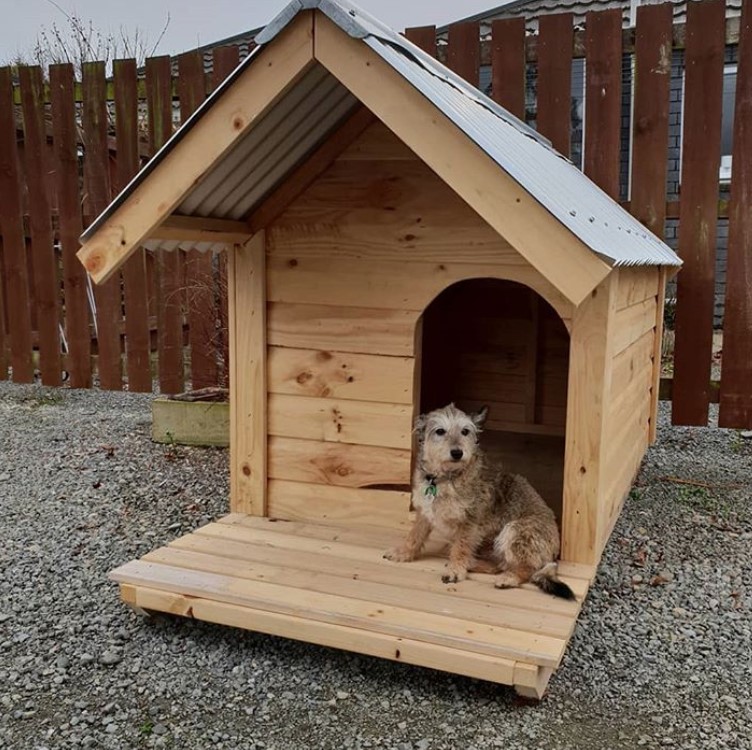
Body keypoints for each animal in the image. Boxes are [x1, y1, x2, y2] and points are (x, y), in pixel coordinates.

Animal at [384, 402, 572, 604]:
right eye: (440, 431)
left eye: (465, 431)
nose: (457, 453)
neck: (444, 478)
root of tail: (554, 554)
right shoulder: (425, 513)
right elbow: (414, 536)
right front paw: (403, 553)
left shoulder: (469, 522)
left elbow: (461, 548)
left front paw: (455, 570)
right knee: (498, 564)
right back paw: (473, 563)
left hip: (515, 531)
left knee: (525, 569)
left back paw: (508, 578)